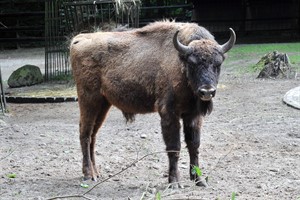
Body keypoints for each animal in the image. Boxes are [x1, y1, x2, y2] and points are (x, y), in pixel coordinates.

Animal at [71, 21, 237, 187]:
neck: (180, 62)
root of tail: (78, 39)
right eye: (192, 63)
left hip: (103, 105)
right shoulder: (169, 113)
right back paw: (88, 175)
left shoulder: (193, 115)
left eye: (218, 64)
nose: (207, 91)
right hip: (89, 101)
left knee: (93, 136)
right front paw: (174, 182)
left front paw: (199, 180)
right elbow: (174, 147)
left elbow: (193, 145)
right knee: (85, 134)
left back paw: (96, 173)